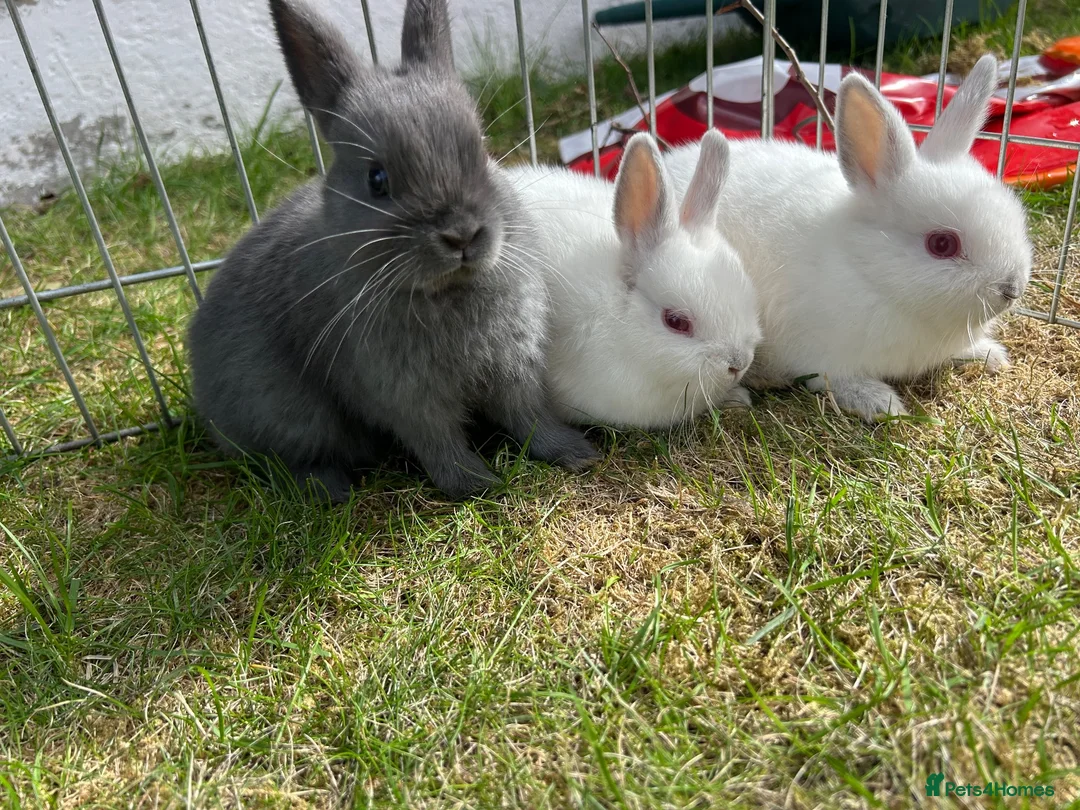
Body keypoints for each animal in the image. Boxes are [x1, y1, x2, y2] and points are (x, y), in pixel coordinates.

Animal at [187, 0, 598, 502]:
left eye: (480, 150)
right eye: (377, 179)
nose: (462, 235)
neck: (446, 291)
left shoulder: (513, 368)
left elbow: (529, 417)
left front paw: (576, 453)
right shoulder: (405, 396)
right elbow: (439, 443)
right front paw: (477, 486)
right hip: (288, 413)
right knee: (289, 460)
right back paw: (331, 492)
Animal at [663, 54, 1033, 421]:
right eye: (942, 244)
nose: (1012, 289)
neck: (869, 272)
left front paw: (989, 354)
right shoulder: (822, 354)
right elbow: (838, 380)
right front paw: (881, 403)